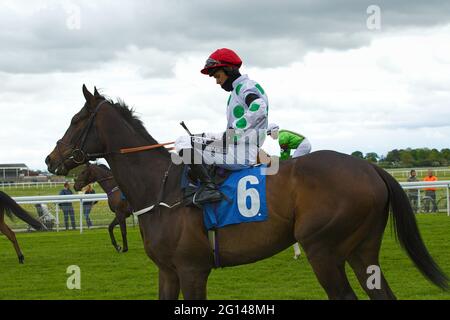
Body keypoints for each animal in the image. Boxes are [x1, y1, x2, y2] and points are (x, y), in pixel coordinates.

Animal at [45, 85, 446, 300]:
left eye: (76, 120)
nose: (51, 159)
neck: (160, 188)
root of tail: (370, 167)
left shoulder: (192, 269)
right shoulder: (168, 271)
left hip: (323, 248)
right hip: (362, 251)